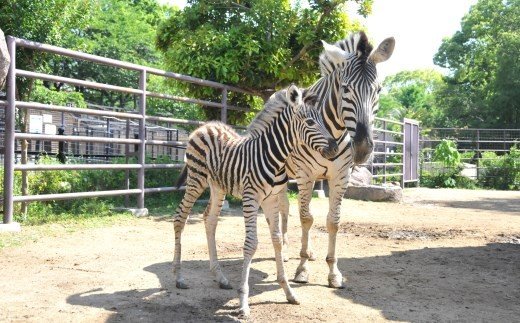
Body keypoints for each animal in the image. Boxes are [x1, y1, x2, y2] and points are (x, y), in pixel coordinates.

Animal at [173, 84, 340, 318]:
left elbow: (277, 240)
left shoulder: (271, 199)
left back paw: (220, 277)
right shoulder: (251, 197)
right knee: (180, 218)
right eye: (309, 122)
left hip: (217, 186)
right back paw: (179, 277)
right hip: (196, 179)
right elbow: (251, 244)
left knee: (210, 221)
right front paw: (243, 302)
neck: (274, 157)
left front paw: (288, 291)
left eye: (322, 121)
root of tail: (205, 126)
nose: (335, 148)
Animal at [248, 32, 394, 288]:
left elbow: (332, 221)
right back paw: (285, 248)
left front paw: (333, 272)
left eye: (378, 90)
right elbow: (306, 218)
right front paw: (302, 269)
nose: (362, 148)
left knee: (290, 208)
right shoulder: (305, 175)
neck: (333, 129)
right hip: (279, 173)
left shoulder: (340, 176)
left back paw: (305, 250)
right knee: (282, 209)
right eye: (345, 89)